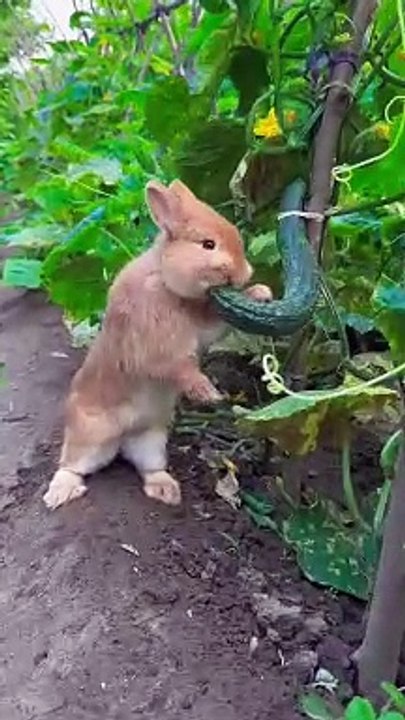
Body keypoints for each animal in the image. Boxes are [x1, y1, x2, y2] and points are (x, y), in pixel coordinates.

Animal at [43, 179, 272, 510]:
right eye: (208, 245)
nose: (245, 274)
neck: (165, 281)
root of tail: (123, 437)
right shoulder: (158, 347)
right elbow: (179, 368)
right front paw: (207, 393)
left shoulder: (202, 327)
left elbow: (216, 323)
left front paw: (261, 293)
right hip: (89, 436)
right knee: (72, 465)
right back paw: (60, 494)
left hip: (151, 440)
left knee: (149, 467)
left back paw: (167, 491)